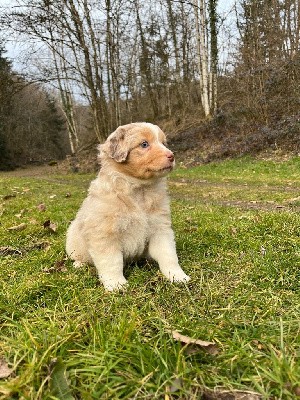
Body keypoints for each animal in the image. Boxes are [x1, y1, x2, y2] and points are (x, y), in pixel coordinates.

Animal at [66, 122, 190, 290]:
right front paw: (116, 284)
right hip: (73, 239)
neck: (139, 189)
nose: (172, 156)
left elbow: (168, 255)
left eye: (164, 143)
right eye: (144, 144)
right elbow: (112, 262)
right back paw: (79, 264)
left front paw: (177, 276)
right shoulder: (104, 234)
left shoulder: (160, 229)